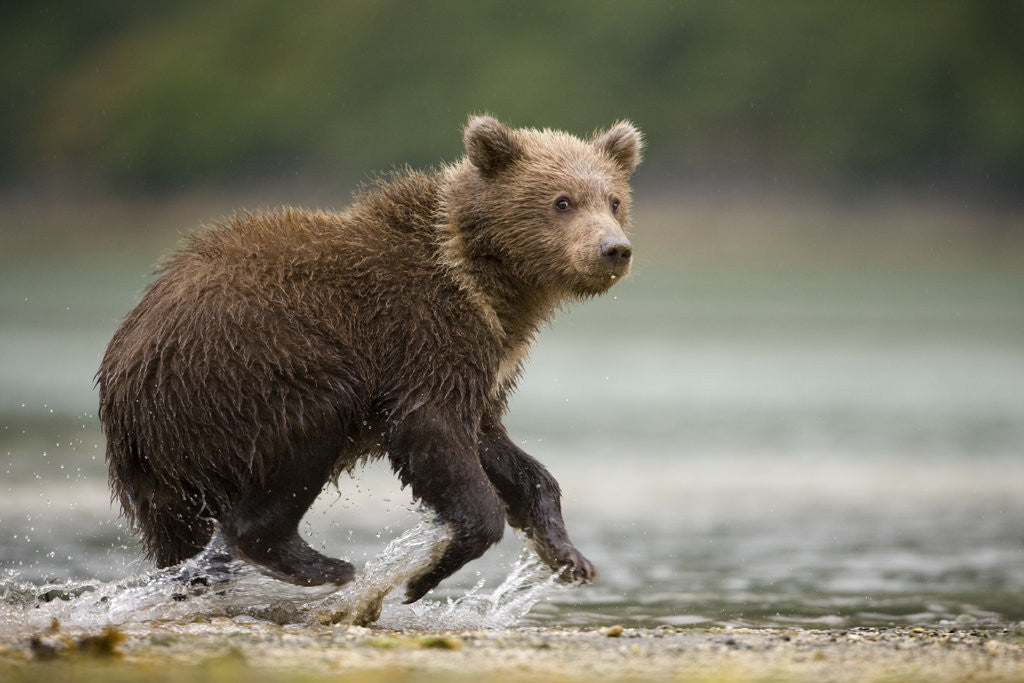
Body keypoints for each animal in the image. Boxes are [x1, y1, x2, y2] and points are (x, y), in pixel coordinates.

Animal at [96, 115, 643, 604]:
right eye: (562, 201)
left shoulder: (487, 359)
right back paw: (321, 565)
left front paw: (567, 554)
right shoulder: (422, 329)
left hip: (174, 449)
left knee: (181, 533)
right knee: (313, 421)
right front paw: (423, 576)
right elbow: (430, 428)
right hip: (243, 367)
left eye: (614, 200)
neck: (485, 279)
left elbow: (497, 446)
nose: (613, 249)